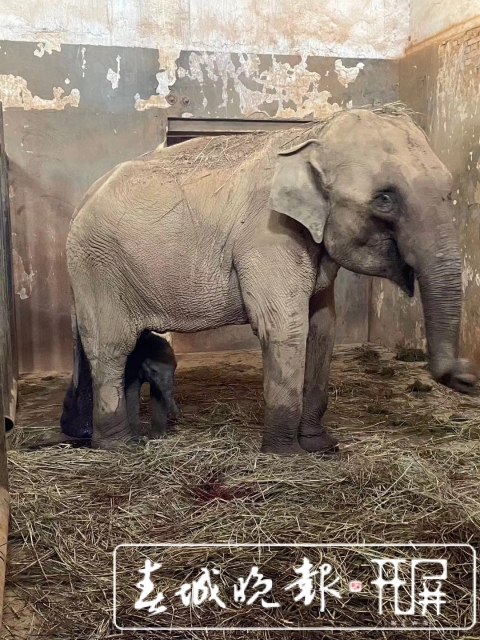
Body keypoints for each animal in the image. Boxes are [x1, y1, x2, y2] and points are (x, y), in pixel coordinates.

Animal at [66, 108, 476, 453]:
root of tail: (82, 199)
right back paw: (119, 446)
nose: (469, 379)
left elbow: (323, 326)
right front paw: (287, 454)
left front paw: (321, 446)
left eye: (449, 192)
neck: (313, 135)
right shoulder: (269, 235)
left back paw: (118, 437)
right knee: (111, 347)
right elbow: (285, 328)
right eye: (385, 199)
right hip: (97, 265)